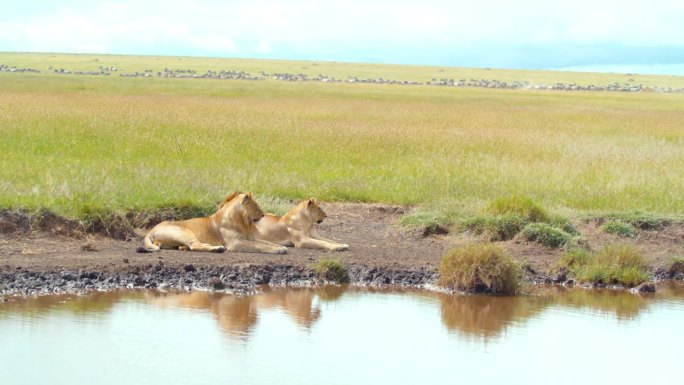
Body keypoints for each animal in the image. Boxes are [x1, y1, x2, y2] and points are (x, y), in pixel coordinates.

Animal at [138, 194, 288, 254]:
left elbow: (266, 242)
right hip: (184, 232)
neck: (242, 222)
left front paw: (281, 247)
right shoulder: (236, 243)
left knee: (188, 246)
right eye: (256, 205)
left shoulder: (250, 237)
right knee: (194, 245)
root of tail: (151, 230)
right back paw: (218, 248)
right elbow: (260, 246)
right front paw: (278, 250)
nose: (263, 215)